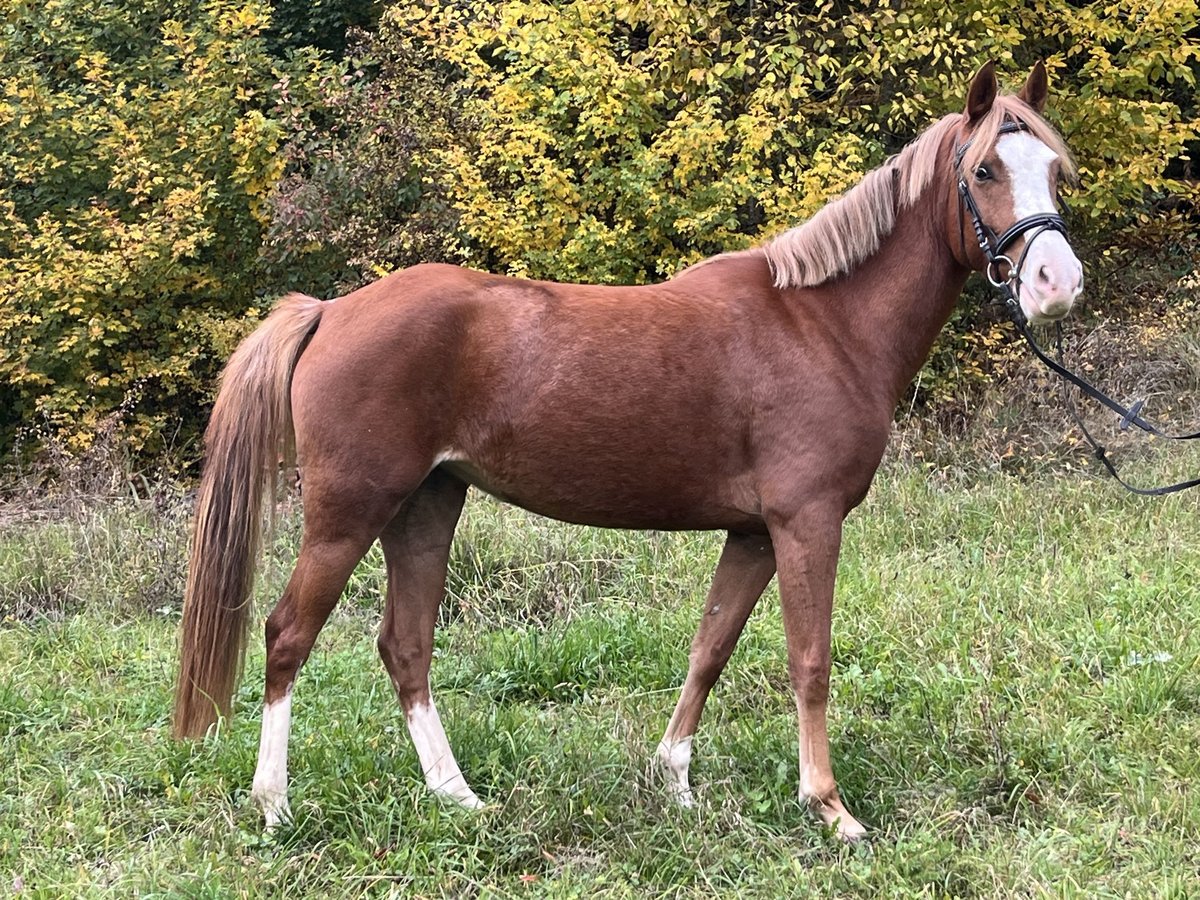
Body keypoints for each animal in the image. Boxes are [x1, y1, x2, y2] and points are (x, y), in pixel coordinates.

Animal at [173, 62, 1082, 840]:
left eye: (1056, 171)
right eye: (986, 170)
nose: (1057, 284)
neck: (824, 325)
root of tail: (329, 310)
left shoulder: (753, 533)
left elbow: (710, 649)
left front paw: (674, 779)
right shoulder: (807, 522)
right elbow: (809, 660)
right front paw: (829, 808)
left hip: (426, 505)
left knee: (406, 646)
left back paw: (457, 796)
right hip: (350, 511)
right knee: (288, 635)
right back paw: (275, 806)